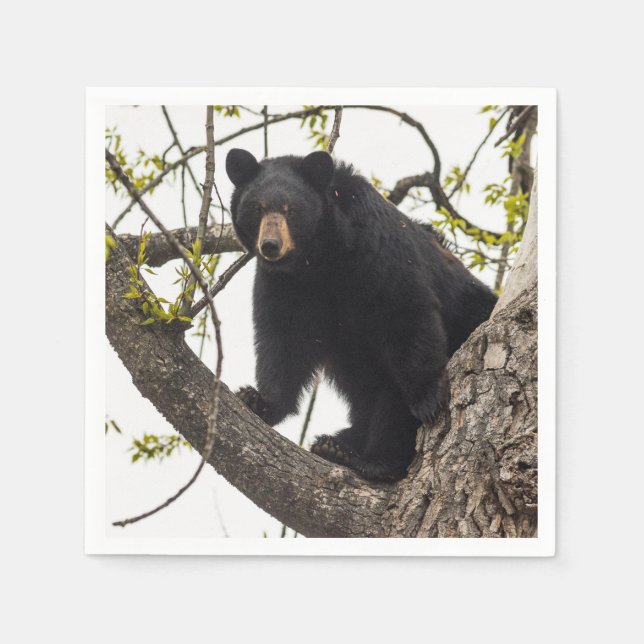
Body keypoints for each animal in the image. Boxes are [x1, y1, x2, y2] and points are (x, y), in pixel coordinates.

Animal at [226, 148, 498, 482]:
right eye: (257, 208)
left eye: (292, 210)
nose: (270, 246)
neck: (319, 259)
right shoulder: (284, 285)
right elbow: (283, 339)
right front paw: (258, 399)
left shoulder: (376, 248)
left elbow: (405, 311)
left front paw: (428, 399)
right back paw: (336, 444)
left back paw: (369, 459)